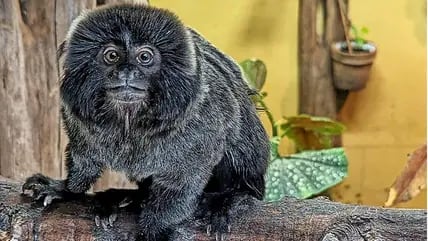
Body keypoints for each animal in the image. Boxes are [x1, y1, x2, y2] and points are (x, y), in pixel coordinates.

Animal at [22, 3, 268, 241]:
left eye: (144, 57)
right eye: (112, 56)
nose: (126, 73)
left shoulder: (202, 122)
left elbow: (185, 179)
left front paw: (154, 229)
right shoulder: (78, 116)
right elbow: (84, 158)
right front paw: (64, 188)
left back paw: (230, 199)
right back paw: (127, 197)